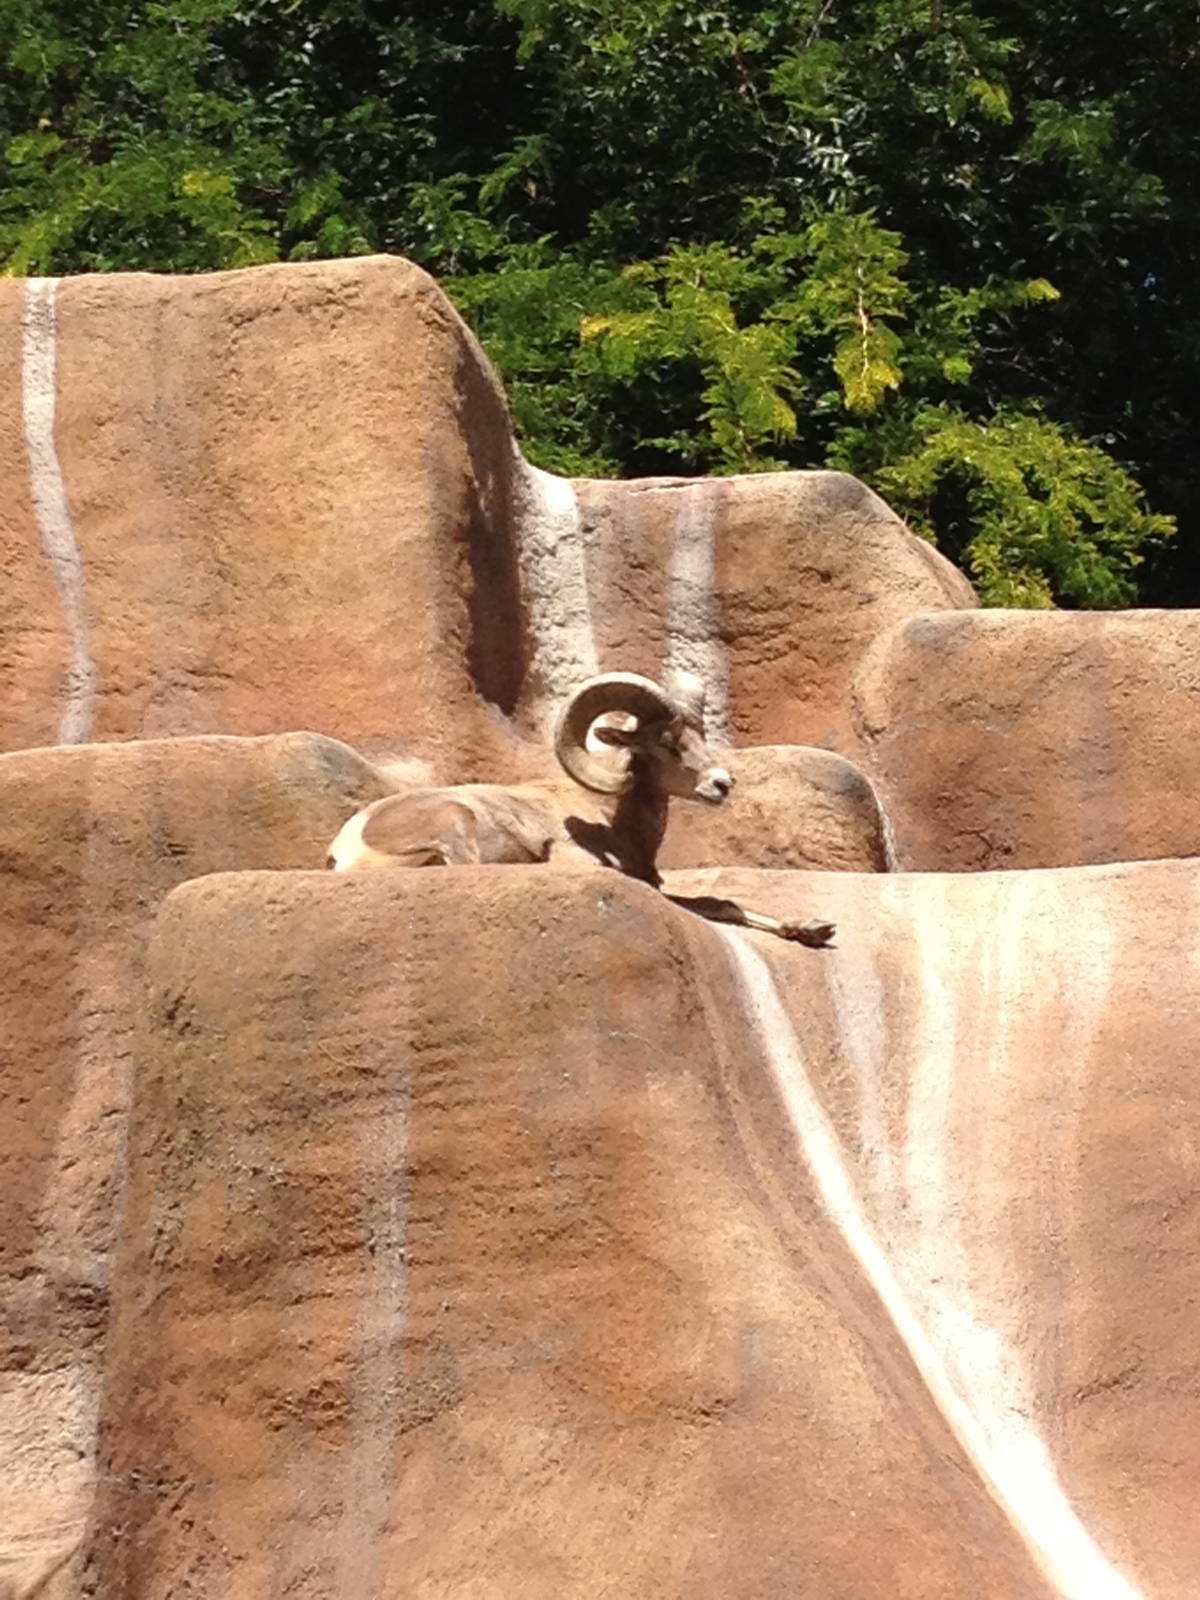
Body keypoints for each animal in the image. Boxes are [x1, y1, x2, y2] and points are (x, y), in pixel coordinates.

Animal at [327, 670, 836, 947]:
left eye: (700, 736)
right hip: (456, 820)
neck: (614, 821)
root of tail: (347, 849)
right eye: (667, 743)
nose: (722, 784)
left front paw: (813, 928)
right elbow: (715, 903)